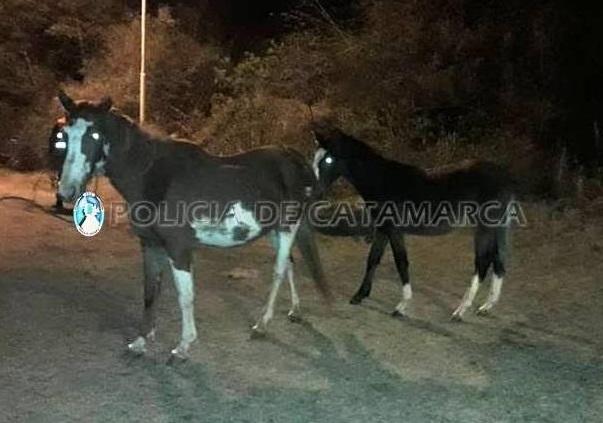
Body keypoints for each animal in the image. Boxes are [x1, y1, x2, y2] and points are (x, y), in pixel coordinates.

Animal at [55, 90, 333, 359]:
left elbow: (185, 296)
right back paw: (294, 311)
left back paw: (262, 324)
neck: (155, 176)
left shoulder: (178, 248)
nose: (67, 190)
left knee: (278, 271)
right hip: (274, 230)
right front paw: (141, 342)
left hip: (288, 227)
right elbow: (150, 291)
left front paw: (183, 346)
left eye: (94, 133)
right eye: (64, 135)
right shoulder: (150, 244)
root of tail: (294, 158)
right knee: (290, 266)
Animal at [310, 121, 516, 321]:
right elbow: (373, 259)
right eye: (315, 159)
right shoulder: (383, 229)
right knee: (498, 260)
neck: (383, 181)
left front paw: (402, 306)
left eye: (328, 160)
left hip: (484, 227)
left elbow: (401, 261)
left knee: (482, 262)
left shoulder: (394, 230)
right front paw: (360, 295)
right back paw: (487, 306)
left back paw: (461, 310)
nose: (314, 193)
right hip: (495, 226)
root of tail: (504, 177)